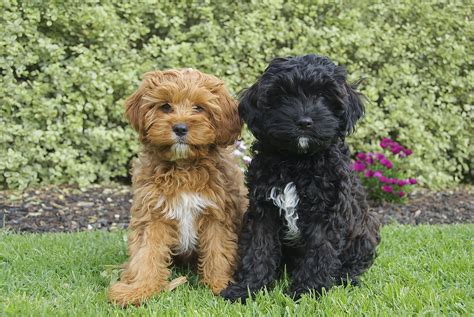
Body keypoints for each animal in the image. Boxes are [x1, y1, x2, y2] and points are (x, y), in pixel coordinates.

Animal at [109, 68, 246, 304]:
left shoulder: (217, 214)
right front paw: (139, 289)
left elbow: (218, 252)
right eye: (165, 106)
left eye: (199, 107)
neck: (183, 167)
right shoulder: (152, 213)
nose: (180, 128)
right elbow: (147, 253)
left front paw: (220, 285)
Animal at [220, 55, 380, 302]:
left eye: (323, 96)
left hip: (366, 226)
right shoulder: (263, 210)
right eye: (283, 95)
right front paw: (247, 288)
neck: (297, 161)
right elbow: (258, 248)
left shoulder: (327, 212)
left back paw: (347, 277)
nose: (304, 122)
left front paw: (307, 290)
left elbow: (319, 251)